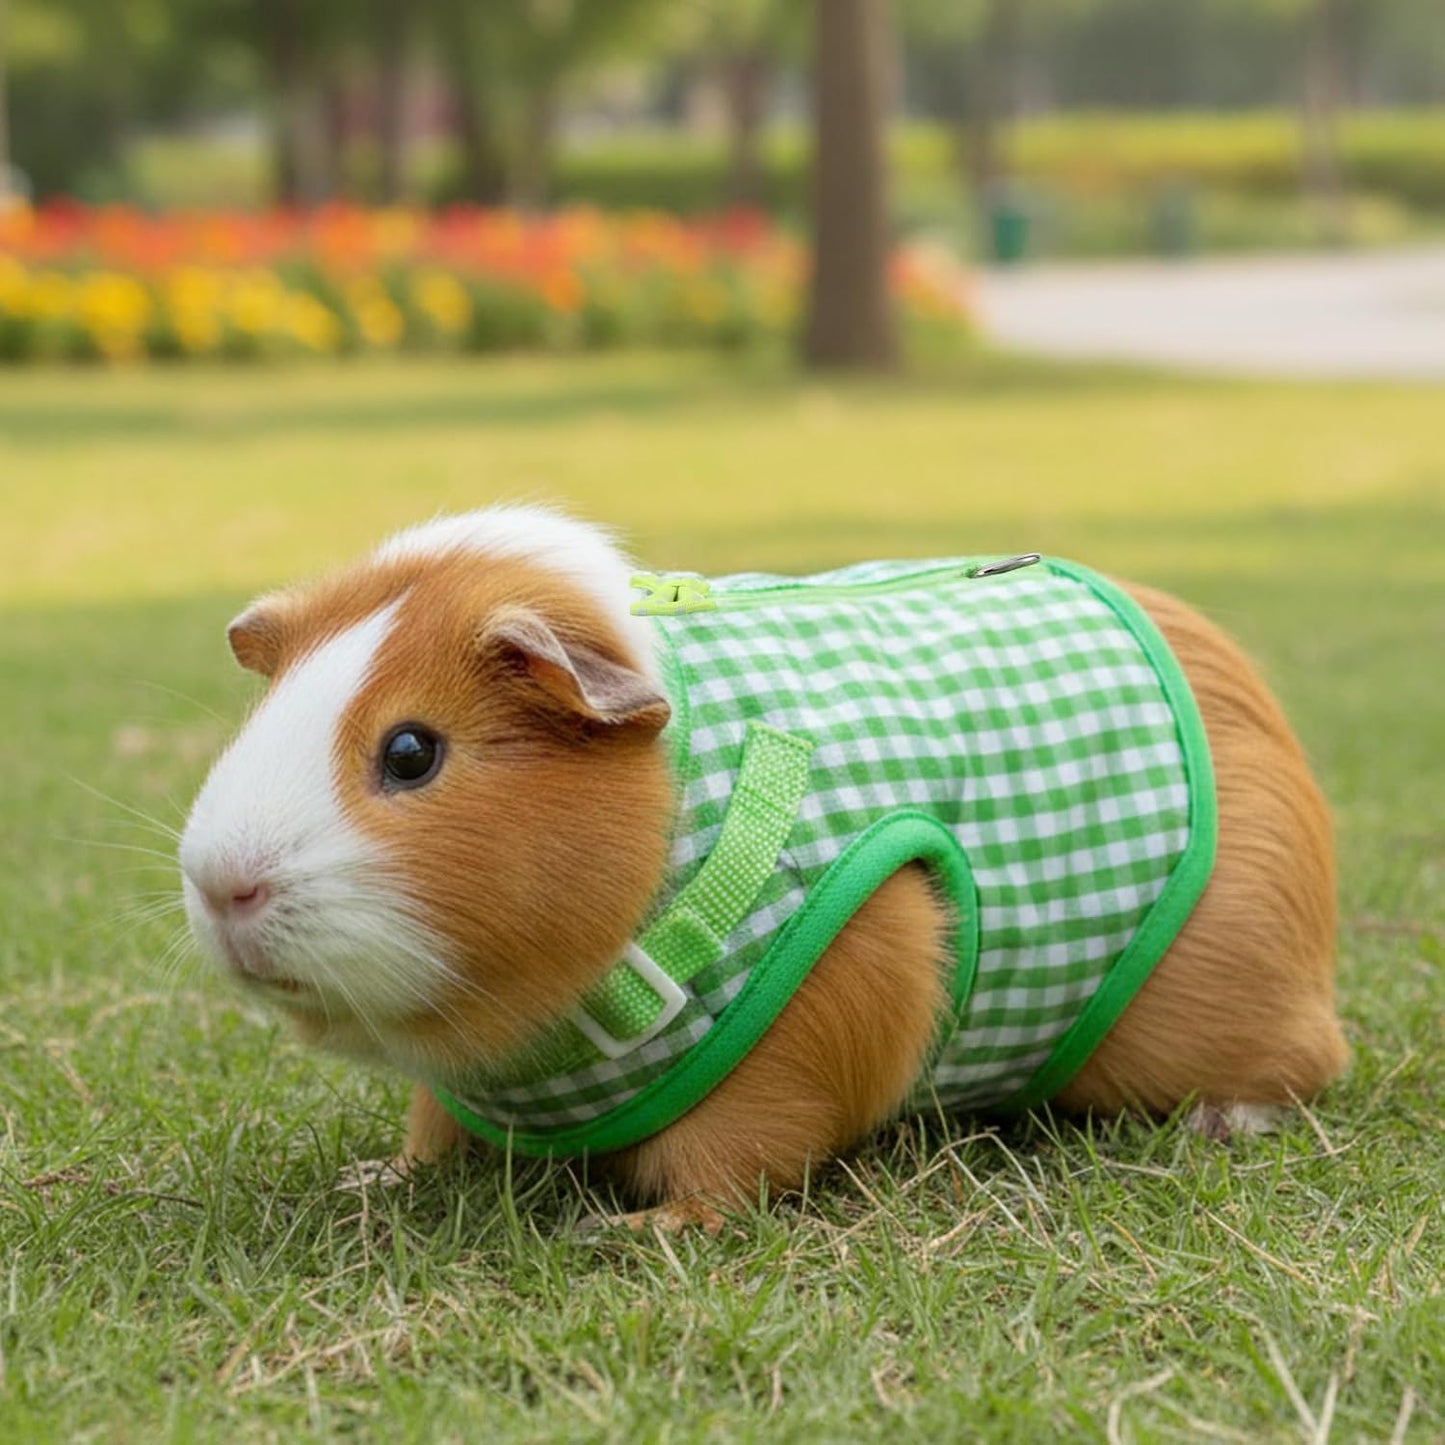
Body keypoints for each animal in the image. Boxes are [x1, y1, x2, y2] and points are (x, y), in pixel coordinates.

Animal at [179, 506, 1347, 1209]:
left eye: (412, 751)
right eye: (268, 712)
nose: (221, 883)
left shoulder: (825, 1005)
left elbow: (737, 1153)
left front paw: (630, 1232)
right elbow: (431, 1129)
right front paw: (372, 1178)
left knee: (1304, 1065)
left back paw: (1225, 1122)